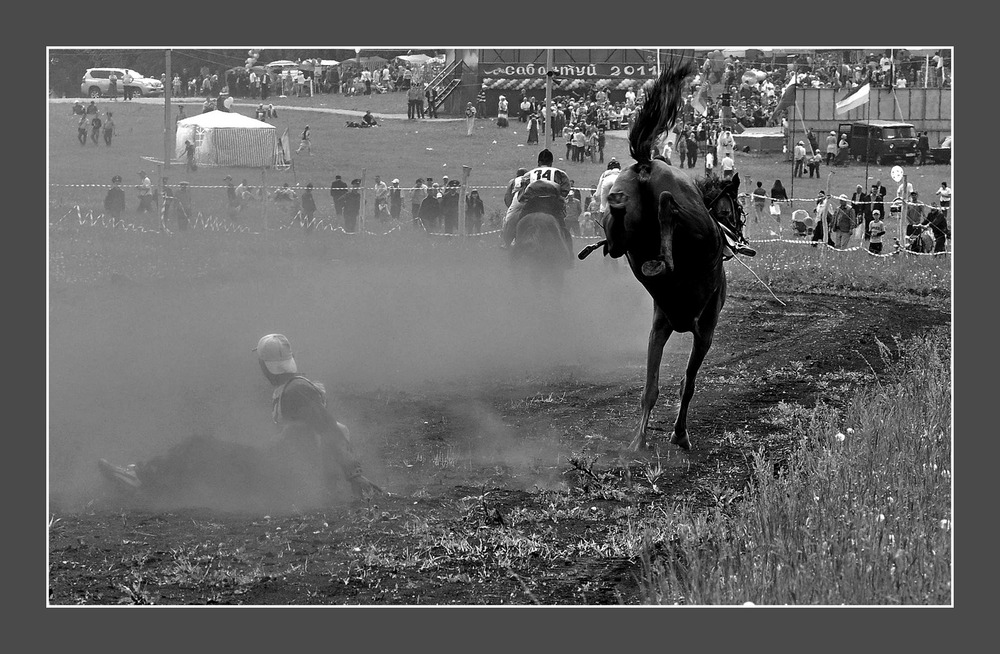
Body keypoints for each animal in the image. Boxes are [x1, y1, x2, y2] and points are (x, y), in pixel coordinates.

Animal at [580, 60, 728, 452]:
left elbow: (651, 387)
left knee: (621, 241)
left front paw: (641, 438)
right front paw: (680, 433)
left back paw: (617, 207)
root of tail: (648, 165)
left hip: (626, 223)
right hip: (694, 224)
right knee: (667, 219)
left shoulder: (659, 326)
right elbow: (687, 383)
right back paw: (662, 225)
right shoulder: (704, 330)